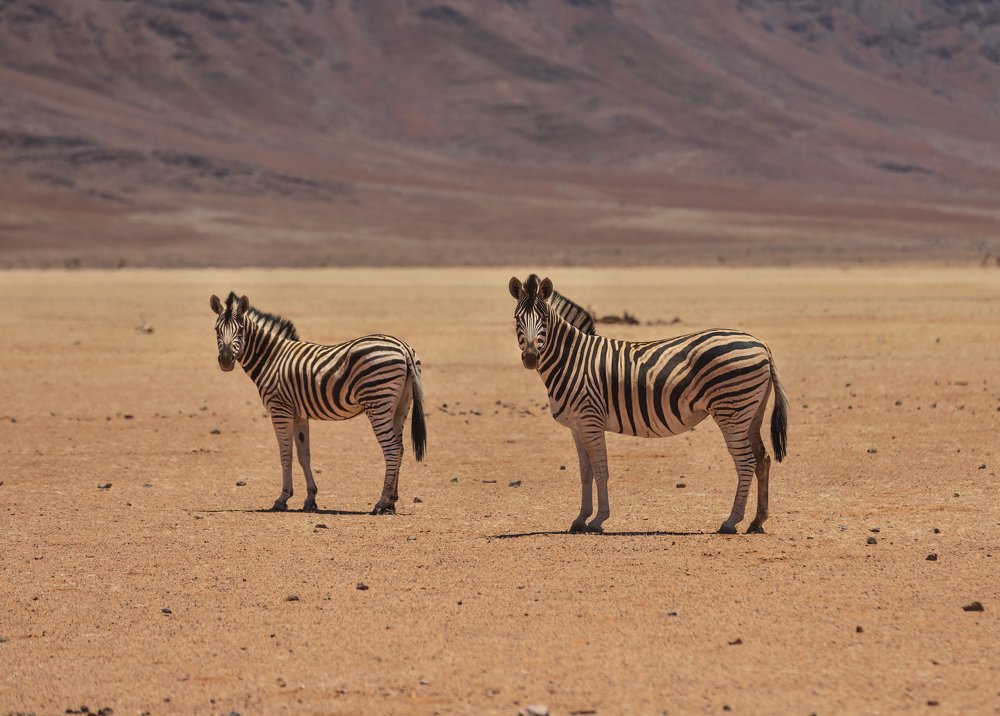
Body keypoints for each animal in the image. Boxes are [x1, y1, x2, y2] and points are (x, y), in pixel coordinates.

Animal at [210, 292, 426, 514]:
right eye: (216, 329)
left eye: (241, 330)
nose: (225, 361)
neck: (272, 358)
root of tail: (403, 347)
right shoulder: (299, 415)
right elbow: (303, 455)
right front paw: (310, 499)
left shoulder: (280, 410)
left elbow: (285, 454)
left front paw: (282, 498)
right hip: (401, 406)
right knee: (400, 448)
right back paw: (392, 502)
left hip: (377, 402)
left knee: (392, 449)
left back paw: (381, 502)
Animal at [508, 274, 788, 534]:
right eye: (517, 320)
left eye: (544, 320)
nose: (531, 358)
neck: (573, 359)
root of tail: (762, 344)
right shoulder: (576, 426)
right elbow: (585, 471)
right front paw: (580, 519)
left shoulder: (590, 421)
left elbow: (600, 469)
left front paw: (598, 520)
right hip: (751, 413)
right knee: (762, 459)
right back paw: (757, 521)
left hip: (732, 411)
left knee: (746, 462)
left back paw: (731, 522)